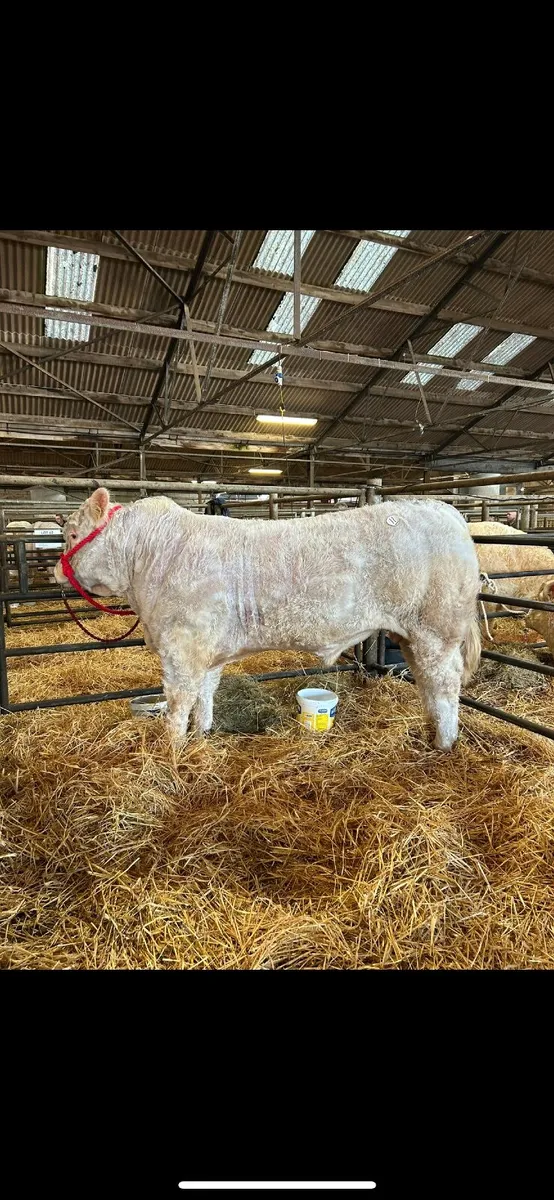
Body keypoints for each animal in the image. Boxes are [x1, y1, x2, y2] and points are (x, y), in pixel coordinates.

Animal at [54, 488, 482, 751]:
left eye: (72, 534)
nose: (55, 572)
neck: (148, 555)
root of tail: (447, 511)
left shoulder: (182, 646)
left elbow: (178, 704)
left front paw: (171, 752)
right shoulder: (207, 650)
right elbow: (205, 696)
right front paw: (202, 737)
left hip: (436, 630)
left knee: (444, 685)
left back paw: (445, 742)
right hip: (412, 634)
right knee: (426, 683)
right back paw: (429, 729)